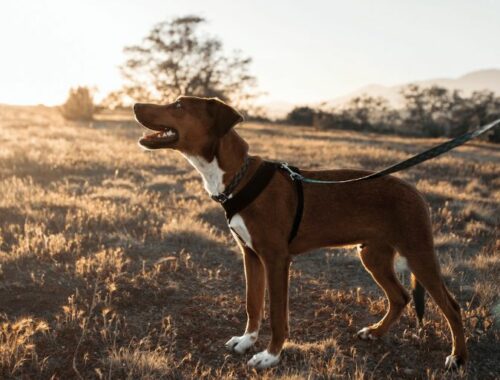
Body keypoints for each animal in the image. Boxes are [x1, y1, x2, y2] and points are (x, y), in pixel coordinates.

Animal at [135, 96, 466, 370]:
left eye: (179, 105)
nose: (136, 105)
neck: (238, 178)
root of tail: (415, 191)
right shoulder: (251, 255)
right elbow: (252, 304)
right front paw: (246, 341)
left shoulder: (276, 259)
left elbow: (277, 315)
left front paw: (270, 356)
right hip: (373, 255)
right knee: (400, 297)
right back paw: (375, 332)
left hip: (418, 252)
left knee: (451, 306)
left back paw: (457, 358)